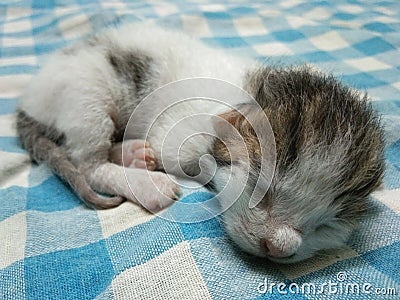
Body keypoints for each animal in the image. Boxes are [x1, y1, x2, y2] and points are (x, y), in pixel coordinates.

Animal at [16, 22, 384, 262]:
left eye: (323, 227)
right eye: (262, 193)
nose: (279, 248)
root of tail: (28, 98)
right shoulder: (178, 137)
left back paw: (133, 154)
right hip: (87, 93)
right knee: (88, 163)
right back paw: (144, 182)